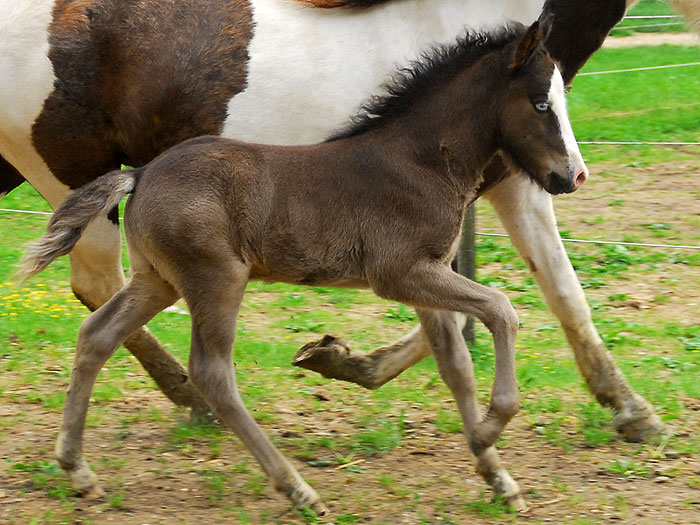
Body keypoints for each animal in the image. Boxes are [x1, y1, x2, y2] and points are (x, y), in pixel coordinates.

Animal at [2, 0, 684, 441]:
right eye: (543, 104)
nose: (575, 176)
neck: (412, 150)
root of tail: (144, 175)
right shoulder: (498, 199)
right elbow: (529, 299)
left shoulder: (457, 232)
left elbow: (502, 308)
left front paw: (341, 359)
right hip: (83, 181)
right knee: (105, 292)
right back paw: (200, 406)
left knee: (104, 310)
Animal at [20, 19, 587, 513]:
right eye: (540, 103)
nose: (573, 176)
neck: (421, 160)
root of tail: (138, 173)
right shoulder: (401, 274)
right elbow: (501, 308)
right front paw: (491, 426)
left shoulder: (428, 277)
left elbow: (456, 366)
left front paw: (498, 477)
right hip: (216, 278)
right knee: (212, 372)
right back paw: (298, 490)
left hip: (158, 280)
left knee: (97, 333)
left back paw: (77, 469)